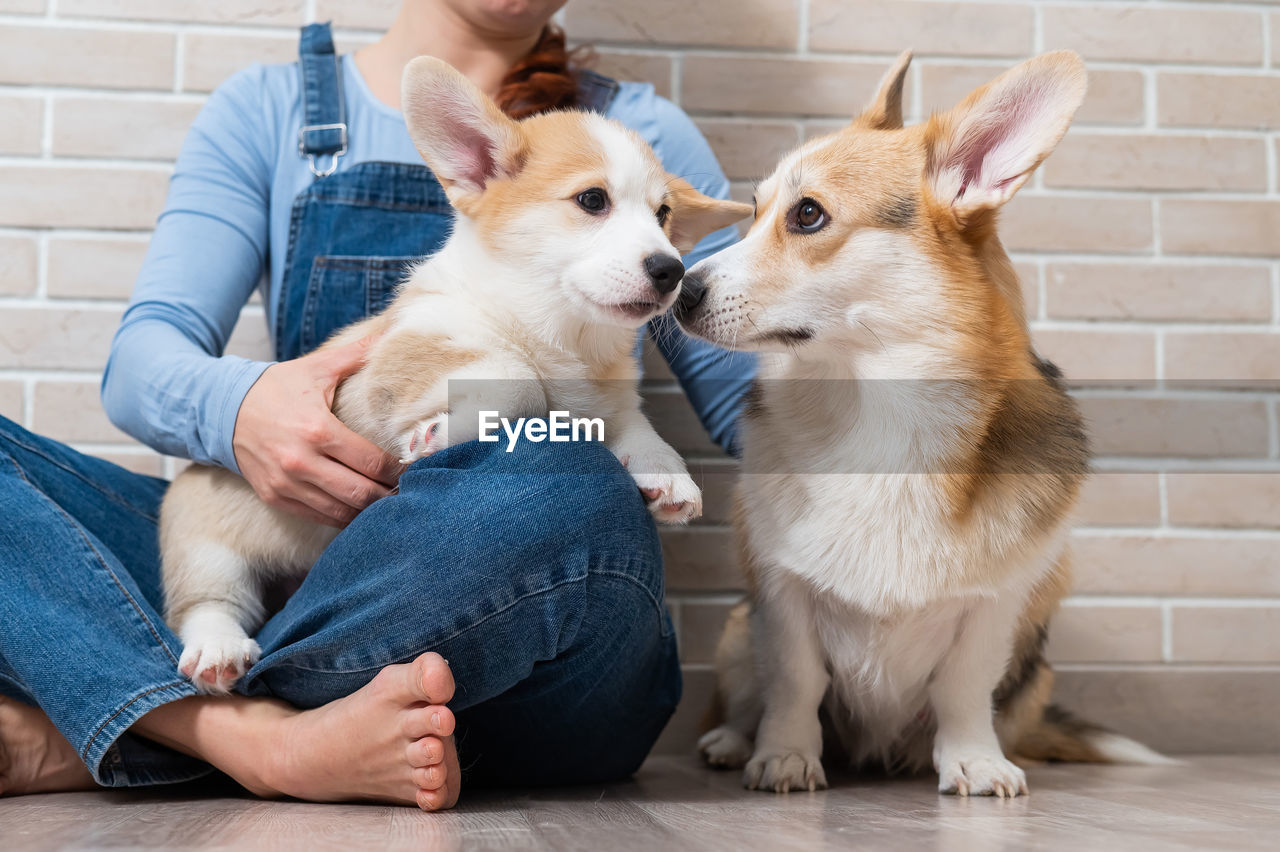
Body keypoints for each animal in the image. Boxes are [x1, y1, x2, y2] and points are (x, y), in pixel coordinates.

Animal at [160, 58, 747, 690]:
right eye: (593, 200)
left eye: (664, 215)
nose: (673, 270)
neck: (563, 333)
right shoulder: (407, 352)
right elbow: (516, 378)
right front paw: (442, 433)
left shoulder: (611, 402)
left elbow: (636, 427)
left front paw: (669, 477)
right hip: (206, 543)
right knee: (206, 602)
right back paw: (218, 648)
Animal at [680, 53, 1172, 798]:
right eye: (754, 211)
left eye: (807, 215)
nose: (675, 286)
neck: (873, 407)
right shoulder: (783, 593)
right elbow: (795, 681)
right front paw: (786, 755)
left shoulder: (995, 604)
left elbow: (963, 689)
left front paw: (973, 760)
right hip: (739, 628)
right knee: (745, 696)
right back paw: (733, 742)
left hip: (1036, 665)